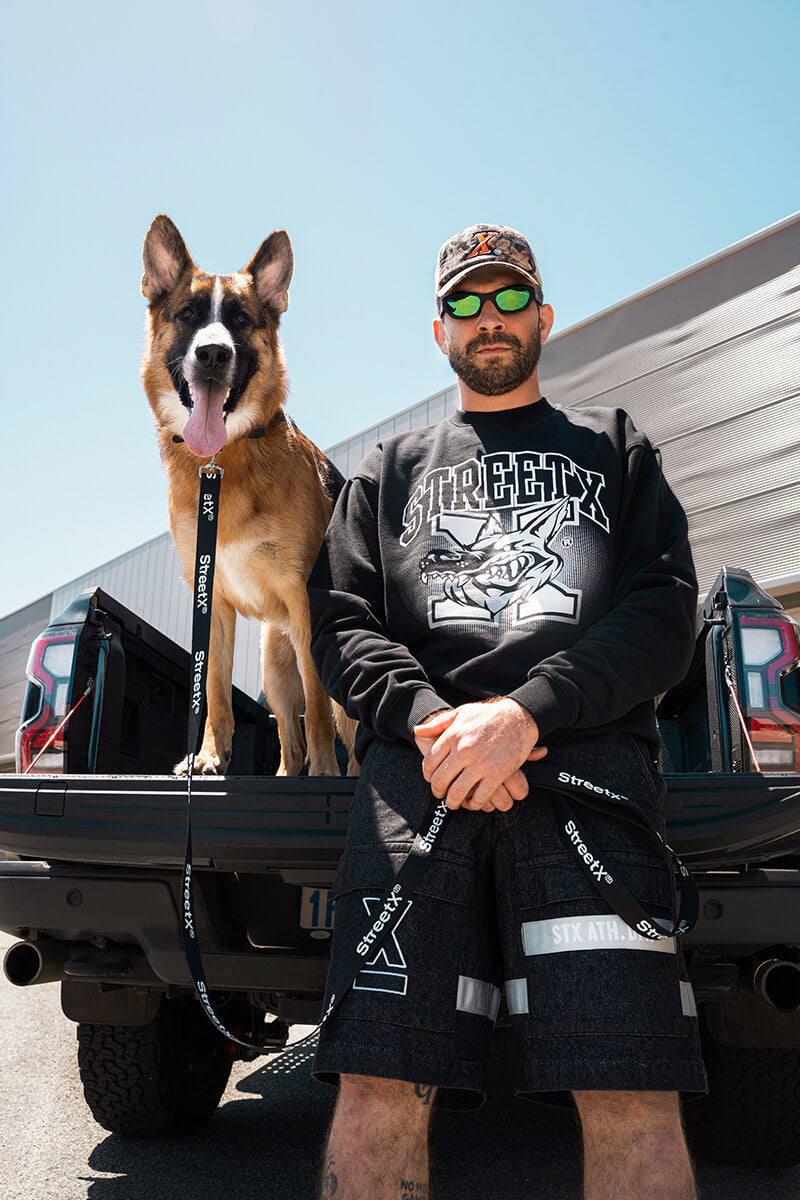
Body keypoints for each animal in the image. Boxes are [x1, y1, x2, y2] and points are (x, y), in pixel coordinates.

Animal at [140, 216, 357, 777]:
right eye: (188, 315)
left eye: (239, 319)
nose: (213, 353)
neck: (224, 460)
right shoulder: (212, 600)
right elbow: (215, 691)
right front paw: (209, 755)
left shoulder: (305, 604)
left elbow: (318, 706)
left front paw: (325, 772)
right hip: (274, 672)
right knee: (287, 734)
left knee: (345, 728)